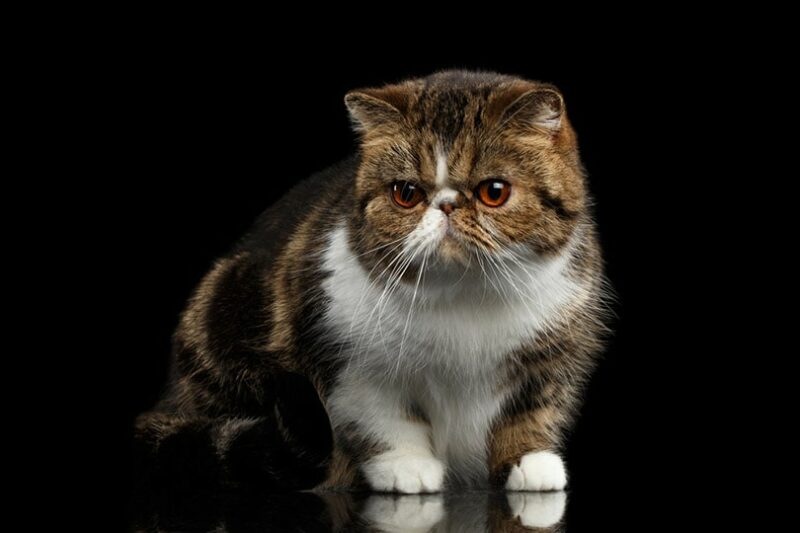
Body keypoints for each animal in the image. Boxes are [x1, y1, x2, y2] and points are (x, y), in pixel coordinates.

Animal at [136, 68, 608, 492]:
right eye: (406, 193)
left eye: (494, 191)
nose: (447, 206)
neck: (463, 293)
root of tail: (171, 396)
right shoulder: (349, 357)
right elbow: (382, 416)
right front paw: (407, 467)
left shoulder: (556, 346)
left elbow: (533, 406)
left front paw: (530, 460)